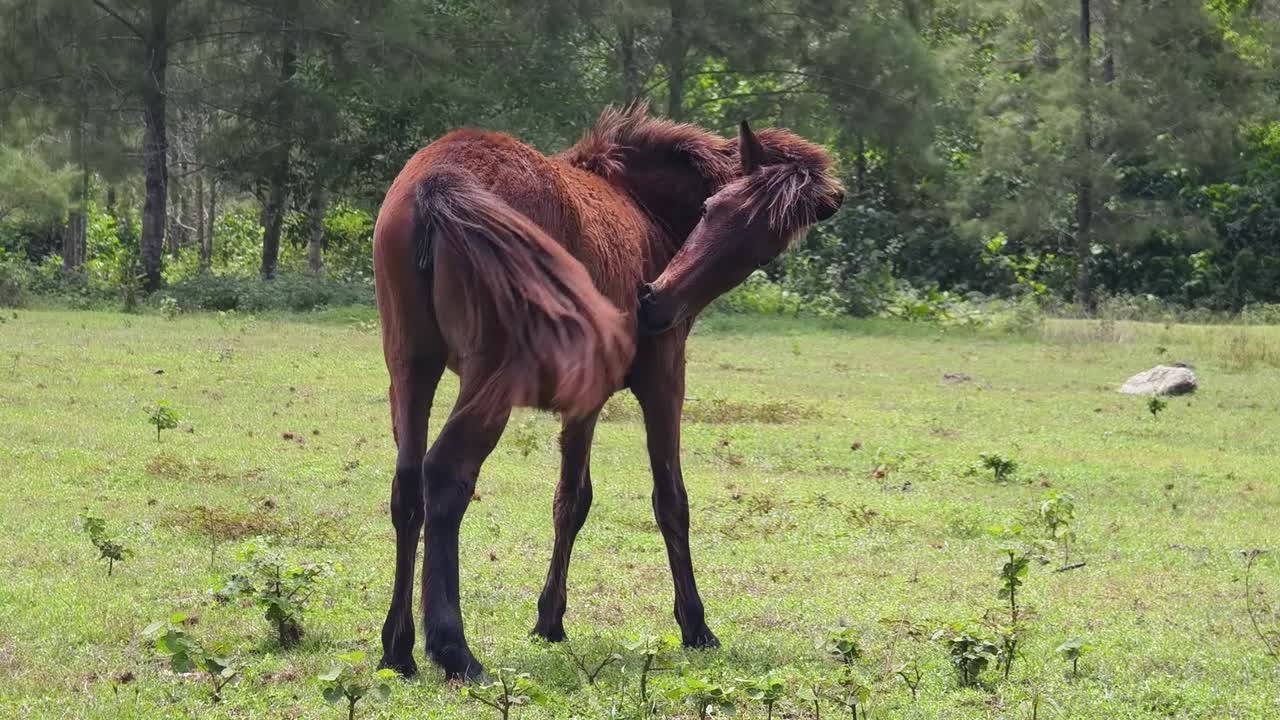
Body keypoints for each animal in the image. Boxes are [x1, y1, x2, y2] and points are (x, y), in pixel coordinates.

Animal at [372, 105, 841, 680]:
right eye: (712, 208)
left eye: (763, 247)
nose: (655, 302)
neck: (639, 203)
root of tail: (439, 180)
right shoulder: (664, 379)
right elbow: (670, 500)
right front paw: (696, 626)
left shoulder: (586, 400)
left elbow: (571, 499)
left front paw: (549, 621)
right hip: (490, 379)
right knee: (445, 475)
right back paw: (453, 649)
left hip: (412, 368)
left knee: (407, 489)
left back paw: (398, 649)